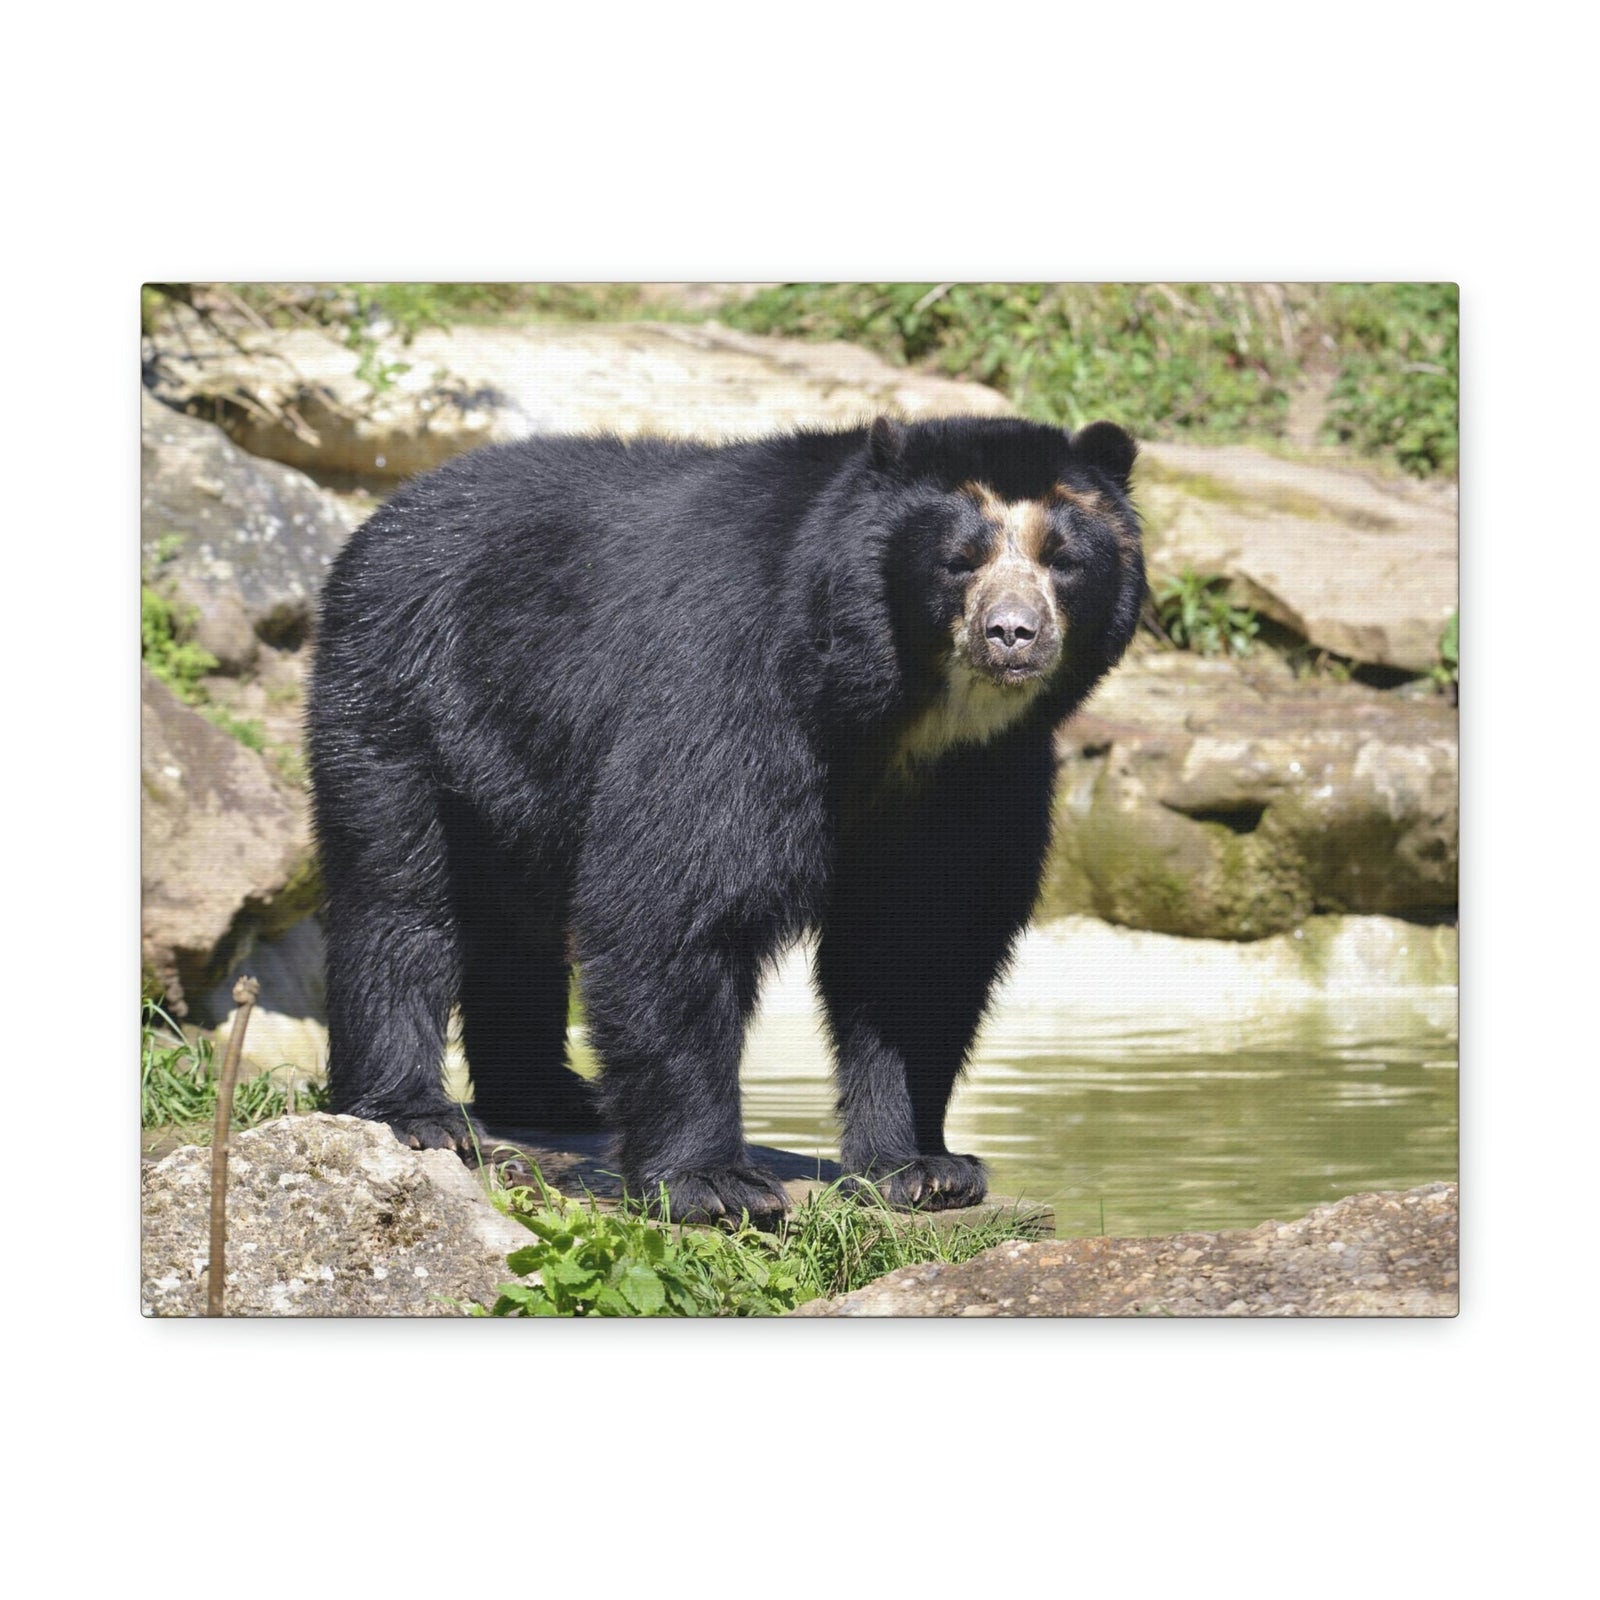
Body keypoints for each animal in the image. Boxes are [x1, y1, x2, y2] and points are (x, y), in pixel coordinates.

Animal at [307, 414, 1144, 1225]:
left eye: (1062, 559)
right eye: (959, 561)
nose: (1013, 633)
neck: (906, 716)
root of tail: (389, 512)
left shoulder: (981, 776)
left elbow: (924, 944)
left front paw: (925, 1170)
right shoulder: (732, 685)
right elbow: (677, 902)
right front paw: (715, 1185)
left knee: (515, 919)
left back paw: (550, 1095)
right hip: (404, 693)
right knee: (398, 898)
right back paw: (420, 1114)